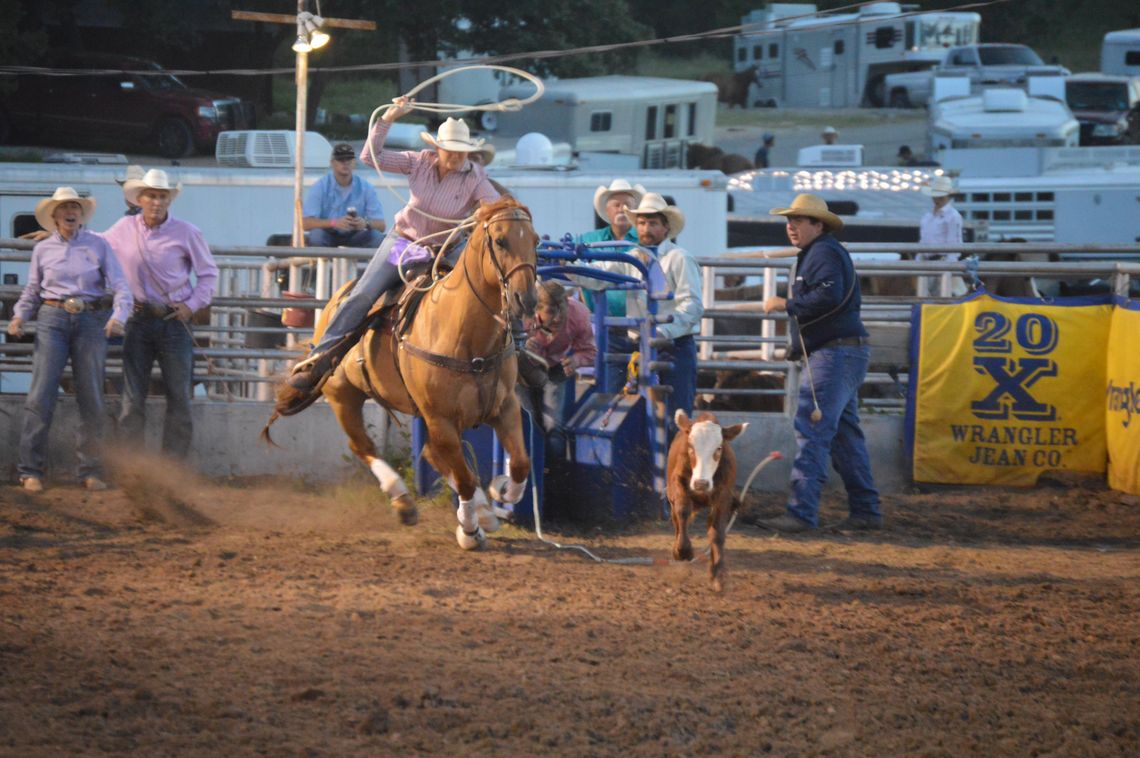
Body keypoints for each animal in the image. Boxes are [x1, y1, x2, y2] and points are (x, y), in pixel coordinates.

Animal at [264, 198, 540, 547]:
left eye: (536, 242)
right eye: (501, 241)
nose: (526, 300)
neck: (467, 338)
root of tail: (335, 301)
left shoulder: (504, 409)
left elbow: (520, 463)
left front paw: (499, 491)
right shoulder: (441, 419)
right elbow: (463, 478)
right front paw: (469, 530)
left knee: (430, 454)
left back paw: (484, 512)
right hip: (343, 396)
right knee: (363, 446)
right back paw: (404, 500)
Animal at [665, 408, 747, 592]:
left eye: (718, 448)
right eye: (691, 447)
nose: (701, 484)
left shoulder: (723, 495)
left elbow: (717, 532)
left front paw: (718, 575)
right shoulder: (677, 484)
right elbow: (682, 511)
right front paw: (683, 551)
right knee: (676, 521)